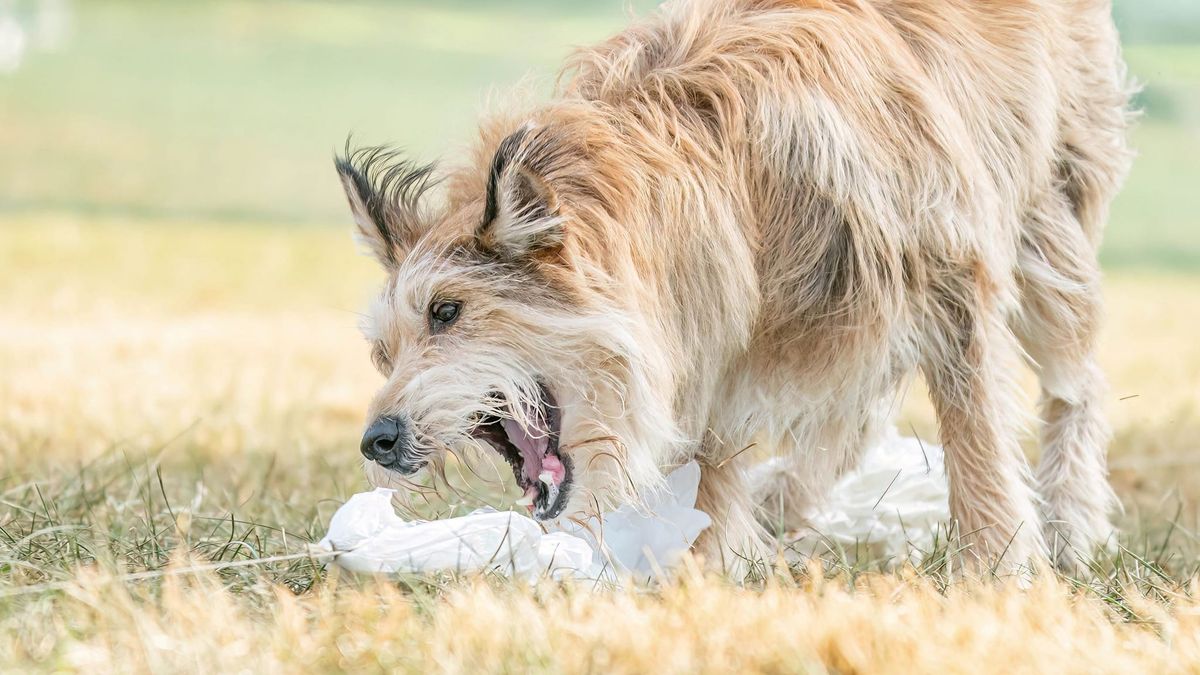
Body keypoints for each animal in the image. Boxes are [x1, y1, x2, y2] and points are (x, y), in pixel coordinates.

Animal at [338, 0, 1132, 576]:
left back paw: (1072, 522)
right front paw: (715, 562)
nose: (378, 440)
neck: (718, 173)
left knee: (1075, 381)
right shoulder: (708, 322)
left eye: (448, 311)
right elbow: (711, 460)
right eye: (383, 352)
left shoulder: (949, 275)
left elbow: (977, 435)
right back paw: (787, 498)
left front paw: (997, 565)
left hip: (1048, 228)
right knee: (862, 404)